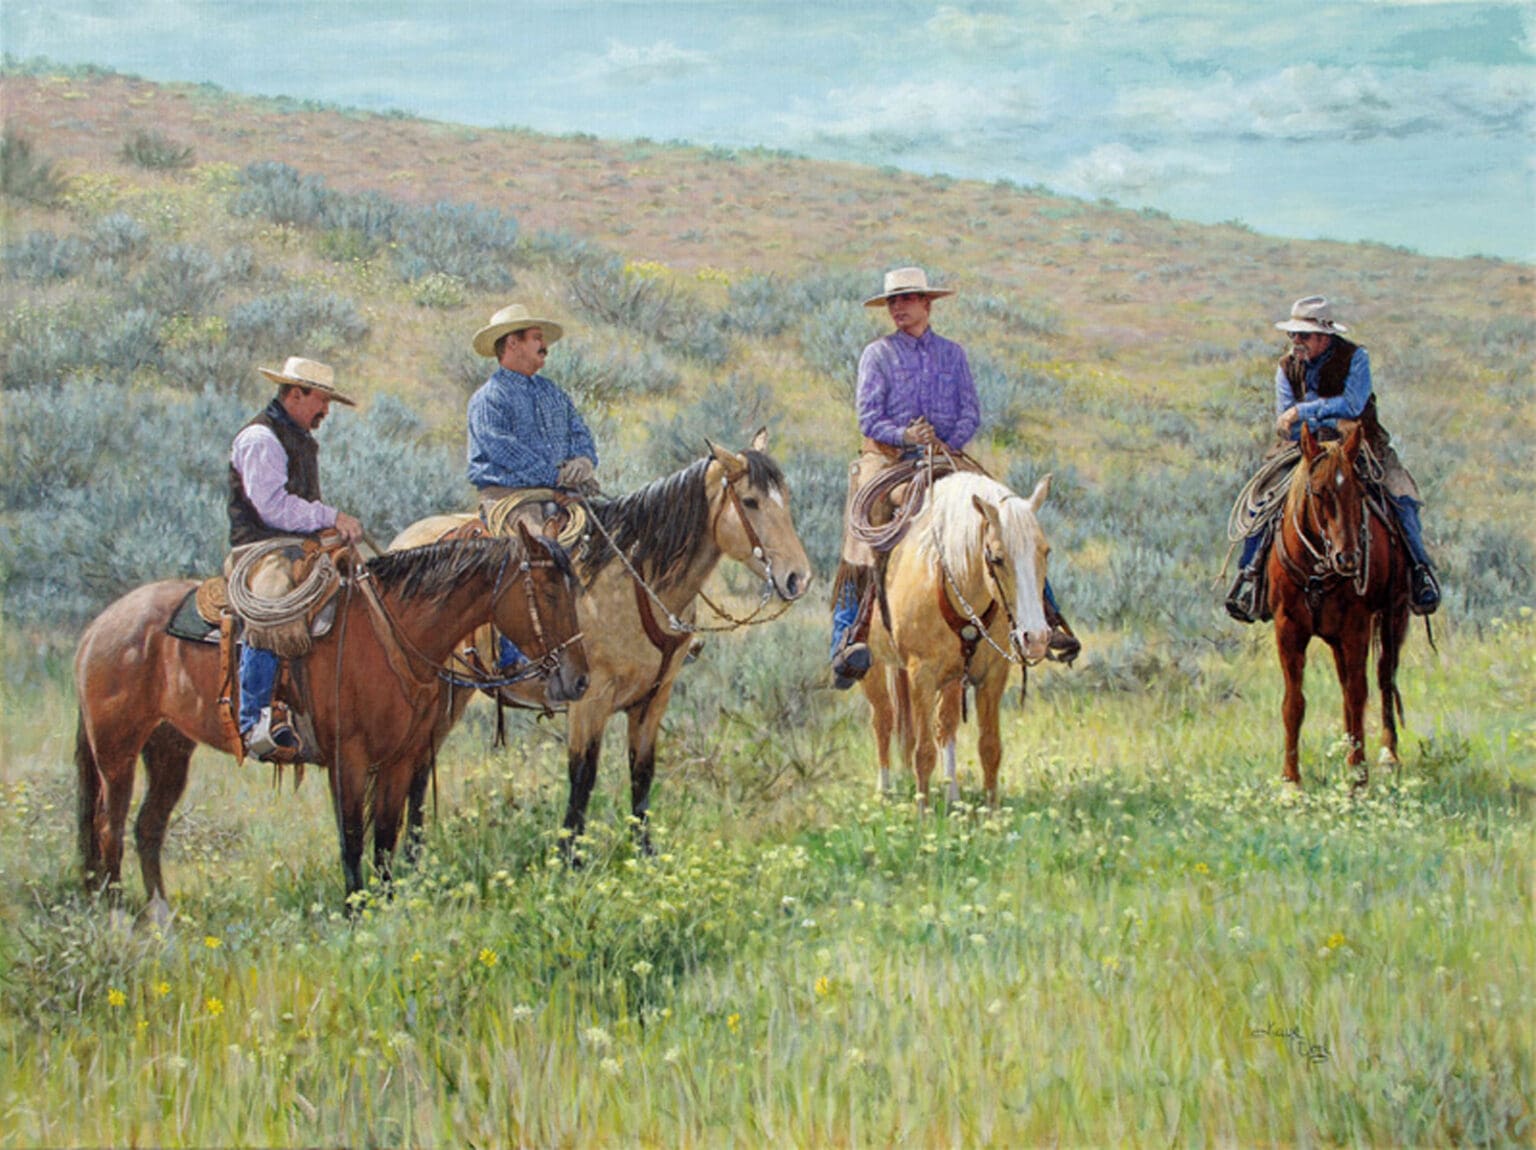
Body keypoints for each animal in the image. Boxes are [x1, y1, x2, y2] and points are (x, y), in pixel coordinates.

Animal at [73, 525, 588, 909]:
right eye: (547, 590)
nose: (579, 680)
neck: (389, 635)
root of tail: (100, 625)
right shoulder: (349, 760)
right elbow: (353, 837)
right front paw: (354, 910)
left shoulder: (400, 761)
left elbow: (385, 838)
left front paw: (384, 908)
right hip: (117, 754)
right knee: (109, 829)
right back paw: (120, 921)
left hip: (168, 749)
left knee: (147, 827)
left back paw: (159, 918)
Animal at [391, 431, 812, 856]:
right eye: (750, 501)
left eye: (786, 496)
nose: (798, 578)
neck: (632, 586)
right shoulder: (590, 698)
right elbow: (583, 776)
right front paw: (569, 857)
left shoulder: (654, 697)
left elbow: (642, 773)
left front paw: (644, 854)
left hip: (455, 692)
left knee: (422, 762)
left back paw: (414, 853)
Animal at [861, 471, 1054, 807]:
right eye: (997, 558)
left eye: (1045, 551)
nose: (1036, 638)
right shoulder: (921, 676)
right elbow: (923, 753)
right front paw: (923, 814)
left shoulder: (992, 675)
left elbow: (989, 748)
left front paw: (992, 812)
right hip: (873, 664)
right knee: (883, 719)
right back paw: (884, 793)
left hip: (947, 678)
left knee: (944, 727)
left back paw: (952, 798)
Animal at [1268, 422, 1411, 788]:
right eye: (1318, 492)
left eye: (1358, 493)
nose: (1348, 559)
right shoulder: (1288, 627)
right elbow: (1294, 703)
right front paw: (1291, 782)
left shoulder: (1356, 627)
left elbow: (1359, 693)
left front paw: (1359, 778)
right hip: (1336, 638)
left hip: (1394, 616)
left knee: (1384, 677)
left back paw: (1387, 756)